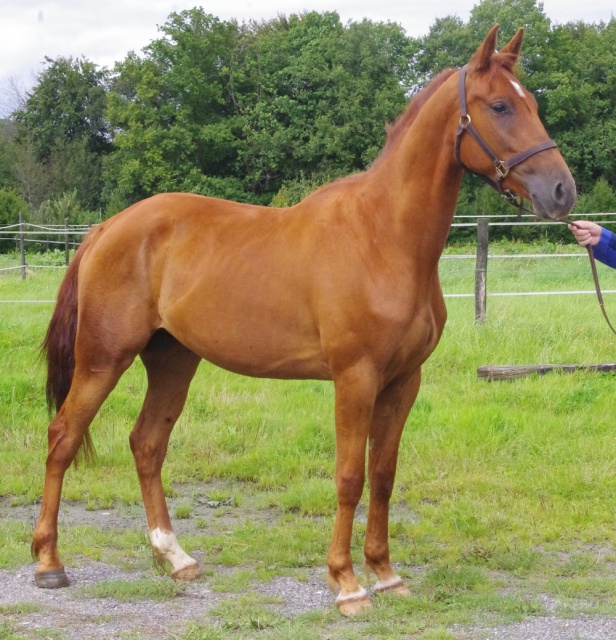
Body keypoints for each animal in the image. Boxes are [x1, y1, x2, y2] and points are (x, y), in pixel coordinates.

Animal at [32, 26, 572, 616]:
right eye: (499, 105)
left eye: (533, 102)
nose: (562, 191)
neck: (383, 237)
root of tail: (107, 228)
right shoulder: (355, 378)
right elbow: (349, 477)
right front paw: (347, 584)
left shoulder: (403, 381)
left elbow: (383, 476)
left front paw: (386, 574)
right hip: (104, 358)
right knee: (62, 438)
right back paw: (49, 563)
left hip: (173, 359)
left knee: (147, 444)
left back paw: (175, 559)